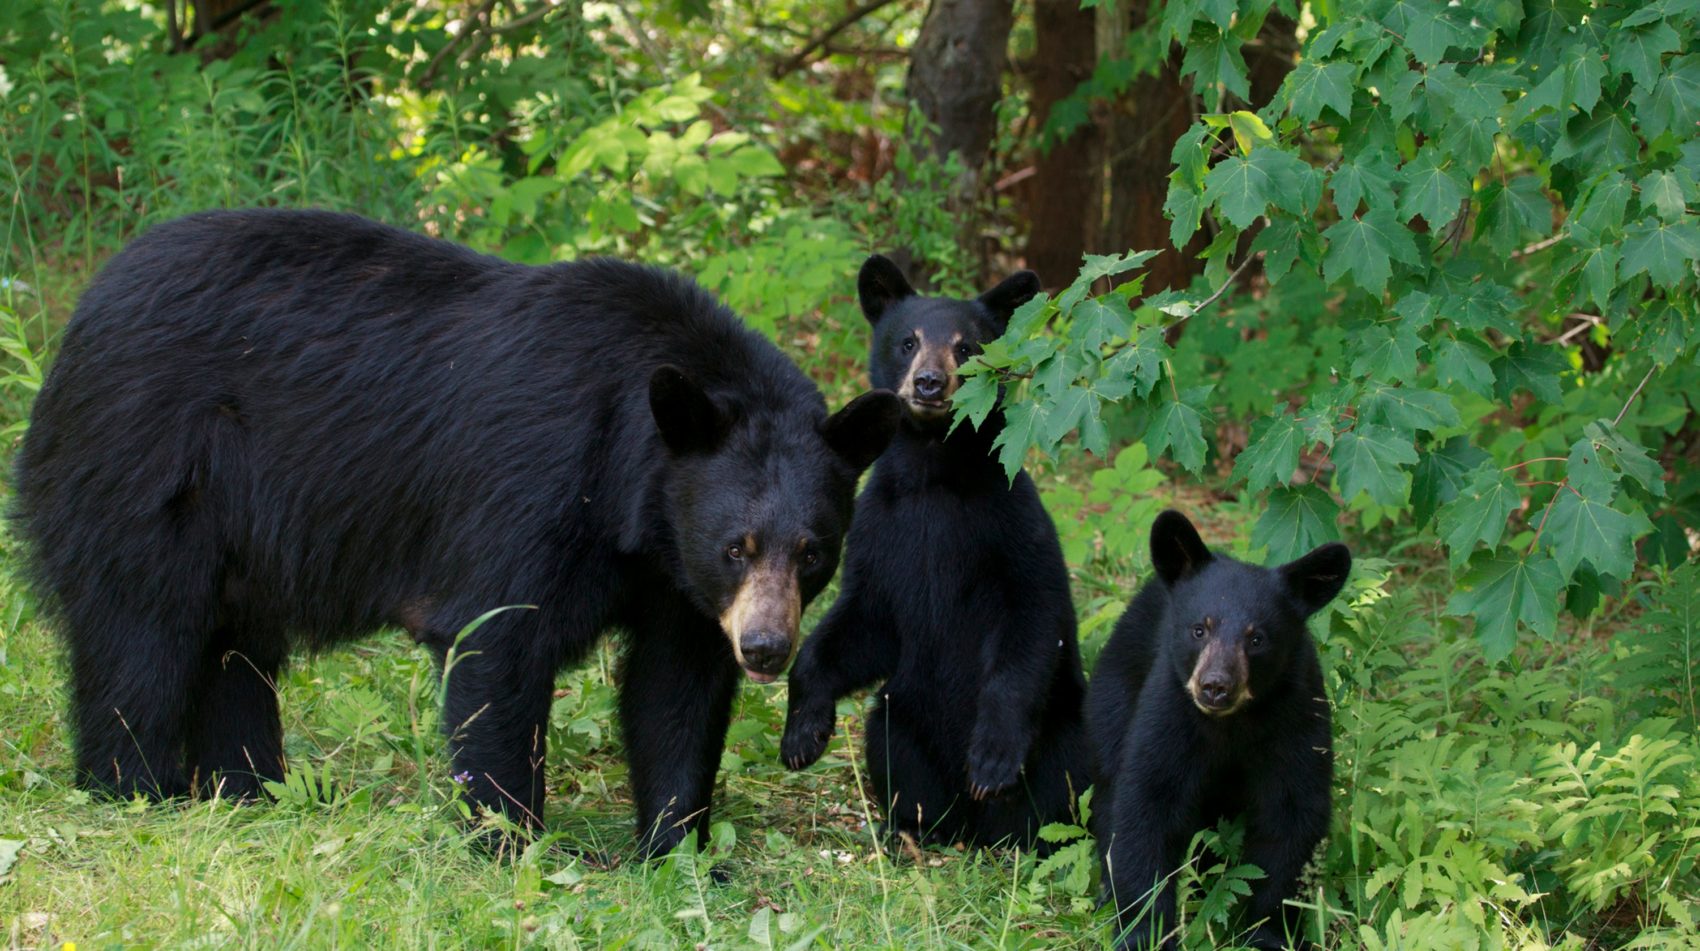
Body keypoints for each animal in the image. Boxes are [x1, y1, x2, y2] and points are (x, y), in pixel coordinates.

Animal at [16, 210, 904, 864]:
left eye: (813, 552)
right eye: (737, 546)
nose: (765, 647)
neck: (632, 493)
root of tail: (79, 317)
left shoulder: (672, 576)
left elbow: (674, 690)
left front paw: (677, 847)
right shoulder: (531, 486)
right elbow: (496, 645)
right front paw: (513, 840)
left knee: (234, 653)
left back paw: (255, 787)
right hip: (146, 470)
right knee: (142, 635)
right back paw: (138, 786)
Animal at [778, 256, 1081, 850]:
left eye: (967, 347)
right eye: (907, 341)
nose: (929, 383)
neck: (932, 474)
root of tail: (976, 831)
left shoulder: (1012, 523)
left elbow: (1032, 616)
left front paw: (992, 759)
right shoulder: (880, 530)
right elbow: (861, 622)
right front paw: (802, 731)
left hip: (1062, 732)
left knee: (1061, 786)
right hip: (905, 716)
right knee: (894, 748)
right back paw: (909, 829)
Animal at [1088, 513, 1353, 951]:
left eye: (1257, 638)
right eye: (1200, 629)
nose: (1215, 686)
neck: (1232, 723)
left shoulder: (1296, 716)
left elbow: (1292, 816)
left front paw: (1268, 932)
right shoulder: (1170, 712)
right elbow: (1147, 805)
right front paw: (1146, 931)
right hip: (1114, 695)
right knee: (1108, 787)